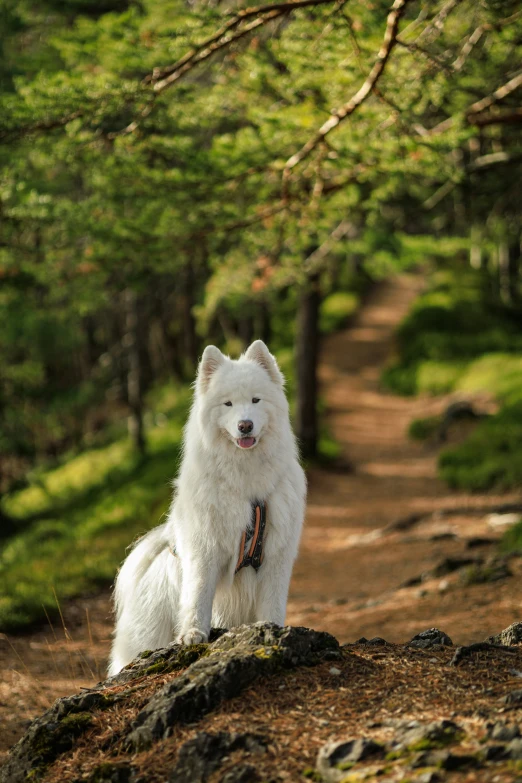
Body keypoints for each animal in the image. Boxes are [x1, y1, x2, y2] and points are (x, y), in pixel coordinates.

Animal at [108, 340, 304, 676]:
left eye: (255, 400)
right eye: (228, 404)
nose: (245, 425)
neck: (246, 484)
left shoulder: (277, 553)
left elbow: (272, 603)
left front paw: (272, 631)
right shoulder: (204, 547)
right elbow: (198, 594)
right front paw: (193, 635)